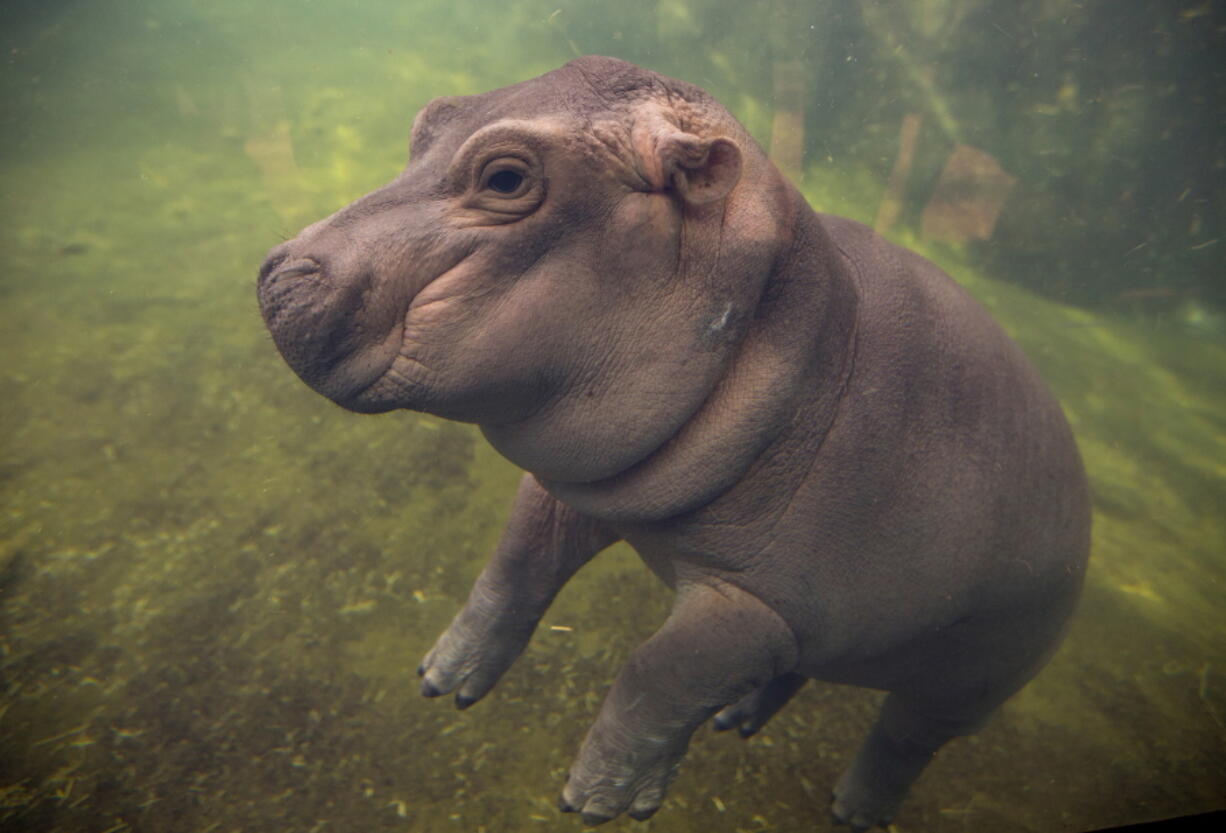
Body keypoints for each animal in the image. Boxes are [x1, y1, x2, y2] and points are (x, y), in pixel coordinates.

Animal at [253, 55, 1088, 829]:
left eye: (506, 176)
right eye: (430, 118)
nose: (276, 273)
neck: (797, 330)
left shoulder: (759, 601)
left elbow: (660, 670)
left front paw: (598, 801)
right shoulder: (580, 486)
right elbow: (514, 567)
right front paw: (442, 679)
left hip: (970, 678)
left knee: (904, 738)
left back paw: (853, 810)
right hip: (842, 632)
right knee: (799, 669)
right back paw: (736, 719)